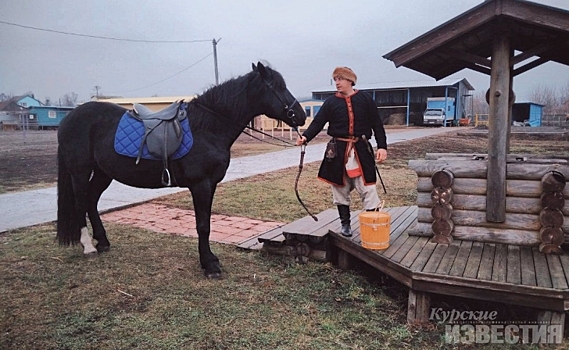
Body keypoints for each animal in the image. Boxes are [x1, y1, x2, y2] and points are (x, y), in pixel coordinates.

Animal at [57, 61, 304, 278]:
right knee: (81, 203)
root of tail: (70, 118)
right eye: (279, 87)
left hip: (103, 173)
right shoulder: (200, 185)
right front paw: (209, 265)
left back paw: (103, 242)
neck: (207, 127)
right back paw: (88, 247)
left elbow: (206, 223)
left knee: (91, 201)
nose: (300, 115)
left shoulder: (210, 185)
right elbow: (203, 225)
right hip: (80, 172)